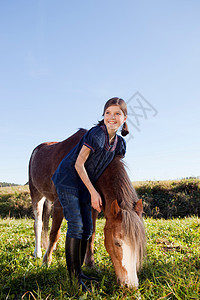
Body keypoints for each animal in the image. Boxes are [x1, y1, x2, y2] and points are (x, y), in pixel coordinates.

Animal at [28, 128, 145, 288]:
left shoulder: (93, 207)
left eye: (138, 244)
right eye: (117, 243)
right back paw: (39, 253)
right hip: (36, 194)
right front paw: (46, 262)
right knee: (38, 224)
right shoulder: (60, 204)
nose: (131, 285)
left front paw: (90, 264)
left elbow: (91, 234)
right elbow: (54, 233)